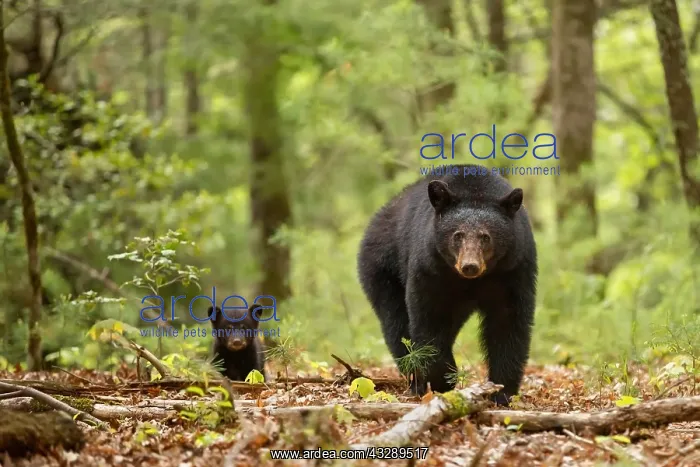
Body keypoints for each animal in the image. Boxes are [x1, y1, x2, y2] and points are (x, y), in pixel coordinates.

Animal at [357, 164, 537, 405]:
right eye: (457, 235)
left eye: (485, 237)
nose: (470, 266)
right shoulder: (430, 267)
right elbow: (429, 319)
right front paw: (443, 380)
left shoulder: (514, 269)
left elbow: (508, 322)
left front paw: (502, 391)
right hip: (382, 268)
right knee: (396, 324)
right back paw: (415, 381)